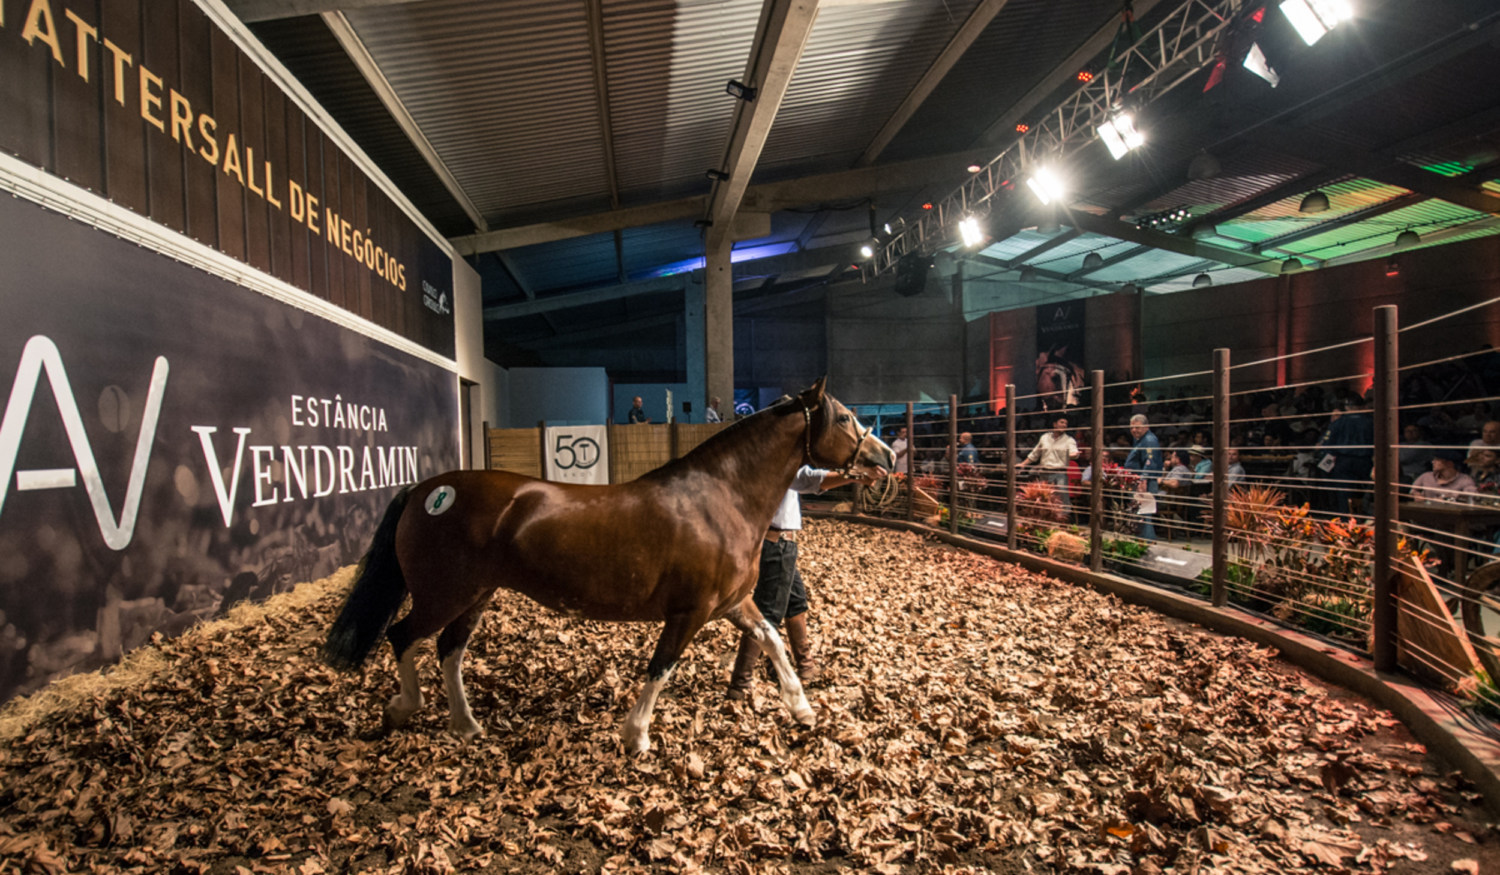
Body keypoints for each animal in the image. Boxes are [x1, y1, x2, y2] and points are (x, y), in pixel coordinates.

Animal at [325, 376, 888, 753]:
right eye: (844, 418)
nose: (884, 458)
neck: (720, 498)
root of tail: (426, 489)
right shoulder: (689, 612)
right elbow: (661, 666)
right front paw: (635, 736)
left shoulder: (731, 603)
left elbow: (771, 637)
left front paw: (801, 708)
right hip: (444, 593)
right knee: (402, 636)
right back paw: (404, 709)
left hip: (475, 596)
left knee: (448, 649)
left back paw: (465, 725)